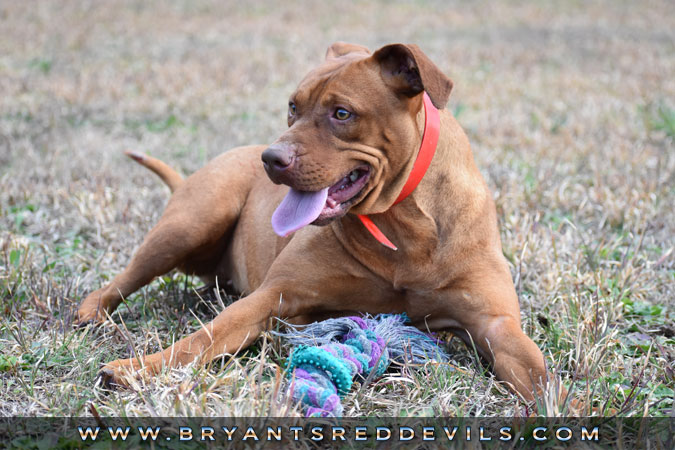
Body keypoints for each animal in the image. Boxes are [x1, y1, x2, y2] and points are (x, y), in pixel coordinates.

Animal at [78, 42, 556, 404]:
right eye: (293, 106)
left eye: (342, 113)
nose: (271, 158)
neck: (403, 225)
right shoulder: (273, 296)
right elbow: (204, 338)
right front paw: (137, 368)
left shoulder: (496, 325)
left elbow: (542, 377)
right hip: (190, 224)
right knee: (121, 280)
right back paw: (90, 313)